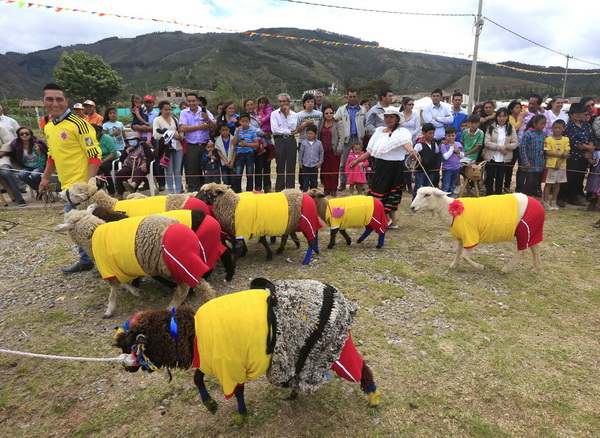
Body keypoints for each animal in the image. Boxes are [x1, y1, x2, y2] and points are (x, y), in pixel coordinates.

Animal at [52, 205, 216, 318]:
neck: (93, 234)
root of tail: (190, 235)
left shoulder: (108, 267)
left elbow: (114, 288)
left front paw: (110, 309)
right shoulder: (123, 266)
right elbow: (124, 283)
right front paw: (138, 292)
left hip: (179, 261)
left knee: (191, 288)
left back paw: (176, 306)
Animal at [114, 278, 378, 428]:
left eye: (133, 346)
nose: (125, 366)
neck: (192, 334)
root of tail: (342, 303)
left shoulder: (231, 365)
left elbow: (237, 393)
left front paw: (240, 418)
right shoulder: (211, 361)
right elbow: (198, 378)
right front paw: (211, 404)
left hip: (328, 350)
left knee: (361, 368)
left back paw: (373, 399)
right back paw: (294, 393)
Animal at [410, 186, 548, 272]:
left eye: (427, 195)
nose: (412, 207)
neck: (449, 210)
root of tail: (539, 205)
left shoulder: (470, 235)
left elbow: (465, 257)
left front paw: (480, 267)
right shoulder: (461, 236)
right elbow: (458, 252)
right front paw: (454, 265)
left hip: (524, 229)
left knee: (523, 251)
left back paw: (506, 269)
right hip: (532, 229)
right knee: (535, 247)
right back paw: (537, 268)